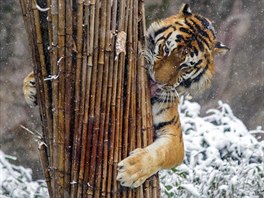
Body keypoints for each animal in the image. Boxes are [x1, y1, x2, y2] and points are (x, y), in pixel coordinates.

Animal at [23, 2, 229, 189]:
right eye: (165, 49)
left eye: (185, 66)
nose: (158, 81)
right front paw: (31, 85)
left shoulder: (174, 136)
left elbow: (159, 153)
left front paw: (131, 171)